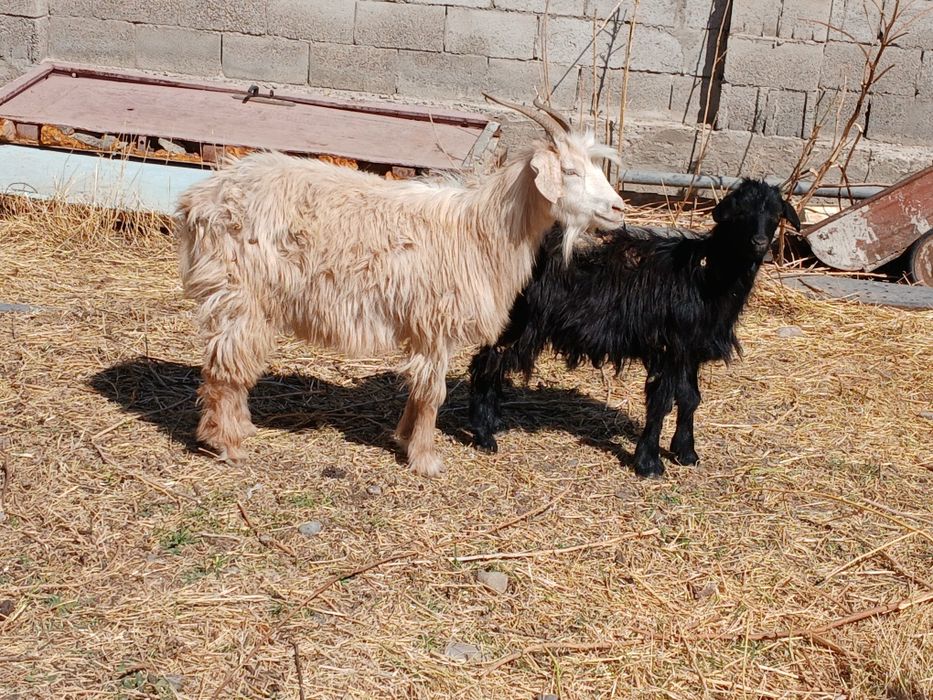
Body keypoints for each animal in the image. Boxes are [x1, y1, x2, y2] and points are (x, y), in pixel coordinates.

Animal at [175, 96, 625, 477]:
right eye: (569, 171)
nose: (618, 208)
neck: (479, 230)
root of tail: (197, 200)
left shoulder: (424, 328)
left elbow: (417, 390)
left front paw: (404, 437)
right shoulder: (435, 324)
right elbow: (432, 394)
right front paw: (426, 459)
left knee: (233, 362)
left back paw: (242, 429)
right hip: (239, 292)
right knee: (224, 365)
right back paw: (226, 443)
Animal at [468, 179, 800, 478]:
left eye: (775, 214)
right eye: (739, 213)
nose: (759, 243)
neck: (707, 278)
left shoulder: (690, 350)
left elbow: (690, 398)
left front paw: (686, 453)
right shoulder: (669, 348)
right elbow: (661, 402)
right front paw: (649, 464)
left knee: (491, 364)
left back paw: (494, 420)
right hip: (517, 322)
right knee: (485, 363)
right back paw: (484, 435)